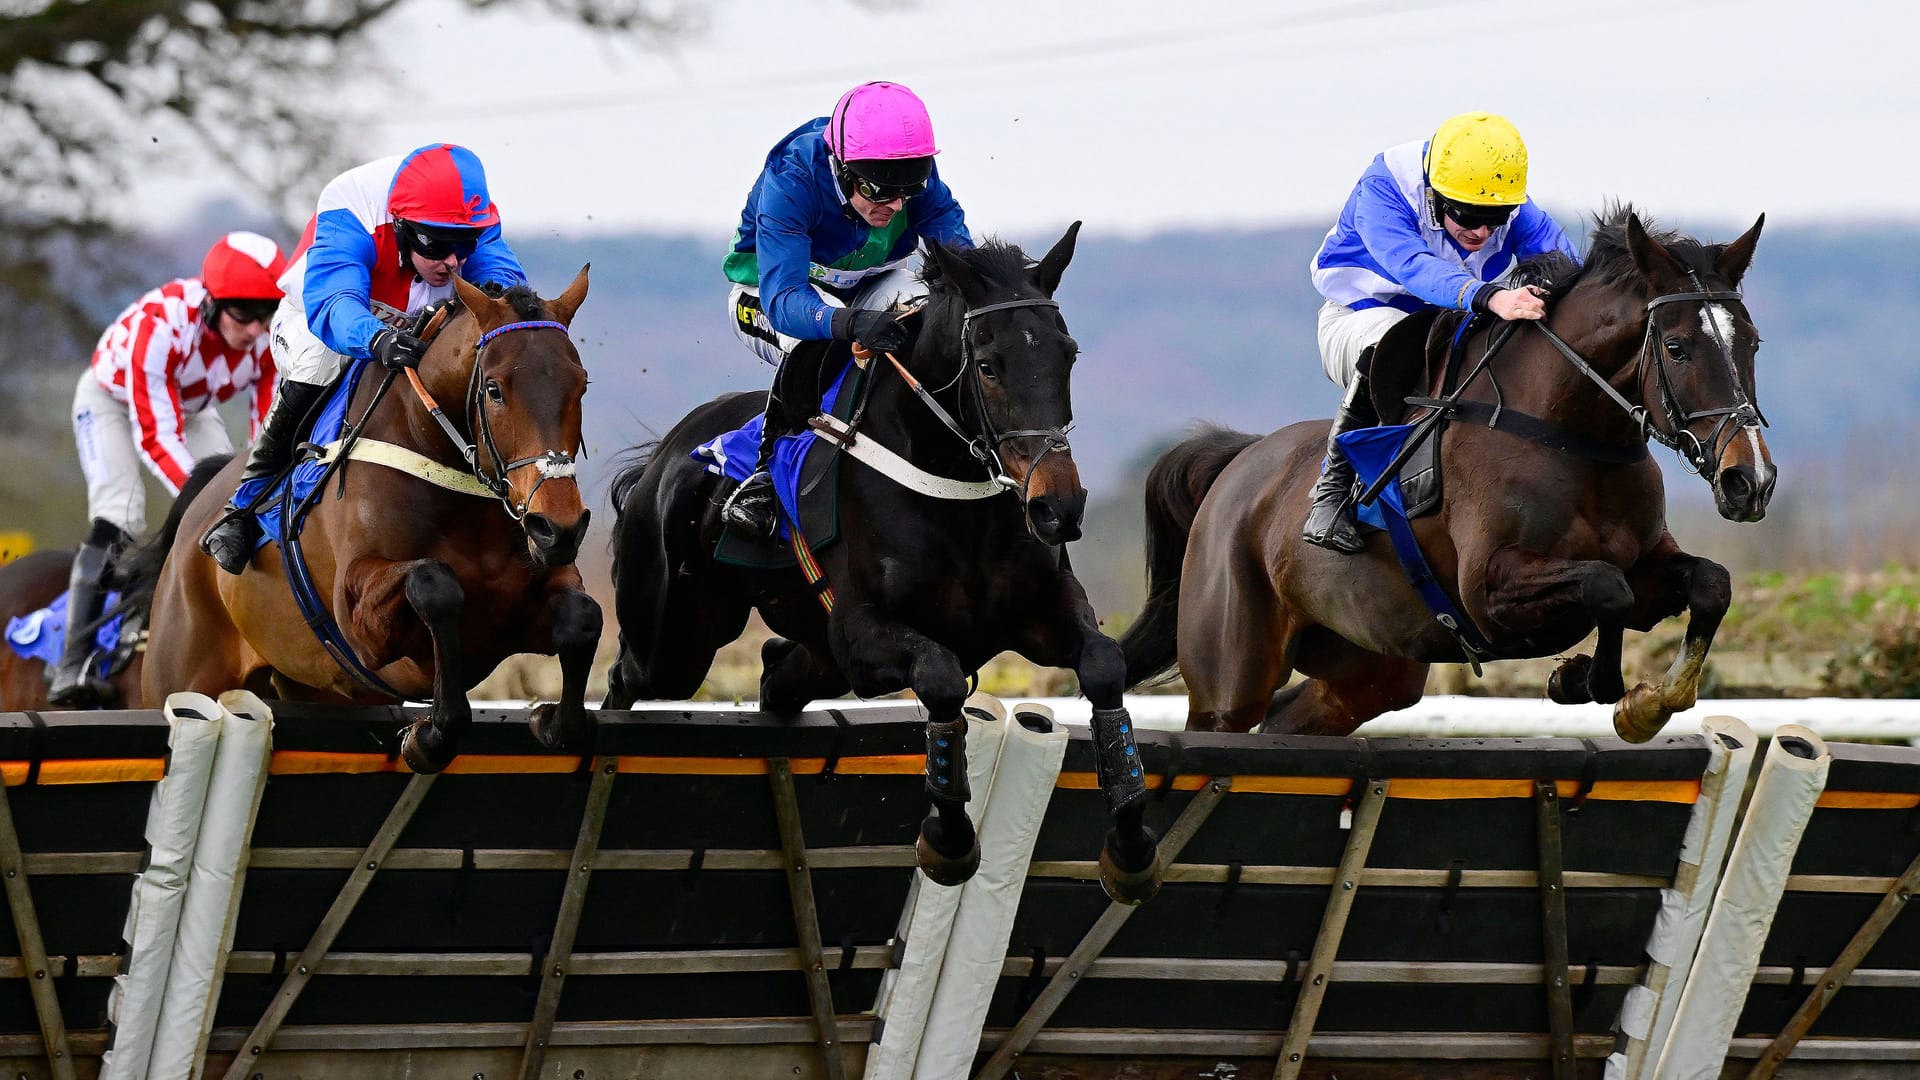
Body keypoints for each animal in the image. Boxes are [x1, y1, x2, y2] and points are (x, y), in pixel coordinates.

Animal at [144, 270, 599, 764]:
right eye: (494, 389)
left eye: (582, 385)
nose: (557, 527)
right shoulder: (361, 622)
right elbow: (435, 585)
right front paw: (431, 733)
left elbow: (584, 616)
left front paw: (554, 720)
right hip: (183, 677)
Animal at [606, 226, 1159, 899]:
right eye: (987, 366)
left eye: (1068, 355)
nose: (1057, 507)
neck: (952, 487)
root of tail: (662, 456)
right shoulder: (862, 634)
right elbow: (941, 679)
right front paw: (949, 838)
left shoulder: (1039, 614)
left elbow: (1104, 664)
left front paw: (1130, 846)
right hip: (675, 642)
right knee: (625, 678)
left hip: (814, 657)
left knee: (775, 670)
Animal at [1121, 203, 1766, 737]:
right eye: (1677, 348)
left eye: (1752, 343)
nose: (1750, 481)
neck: (1572, 437)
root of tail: (1239, 465)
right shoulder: (1489, 592)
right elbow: (1608, 587)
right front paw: (1592, 684)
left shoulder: (1649, 562)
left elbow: (1708, 585)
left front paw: (1651, 699)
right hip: (1229, 680)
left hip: (1370, 670)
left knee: (1291, 719)